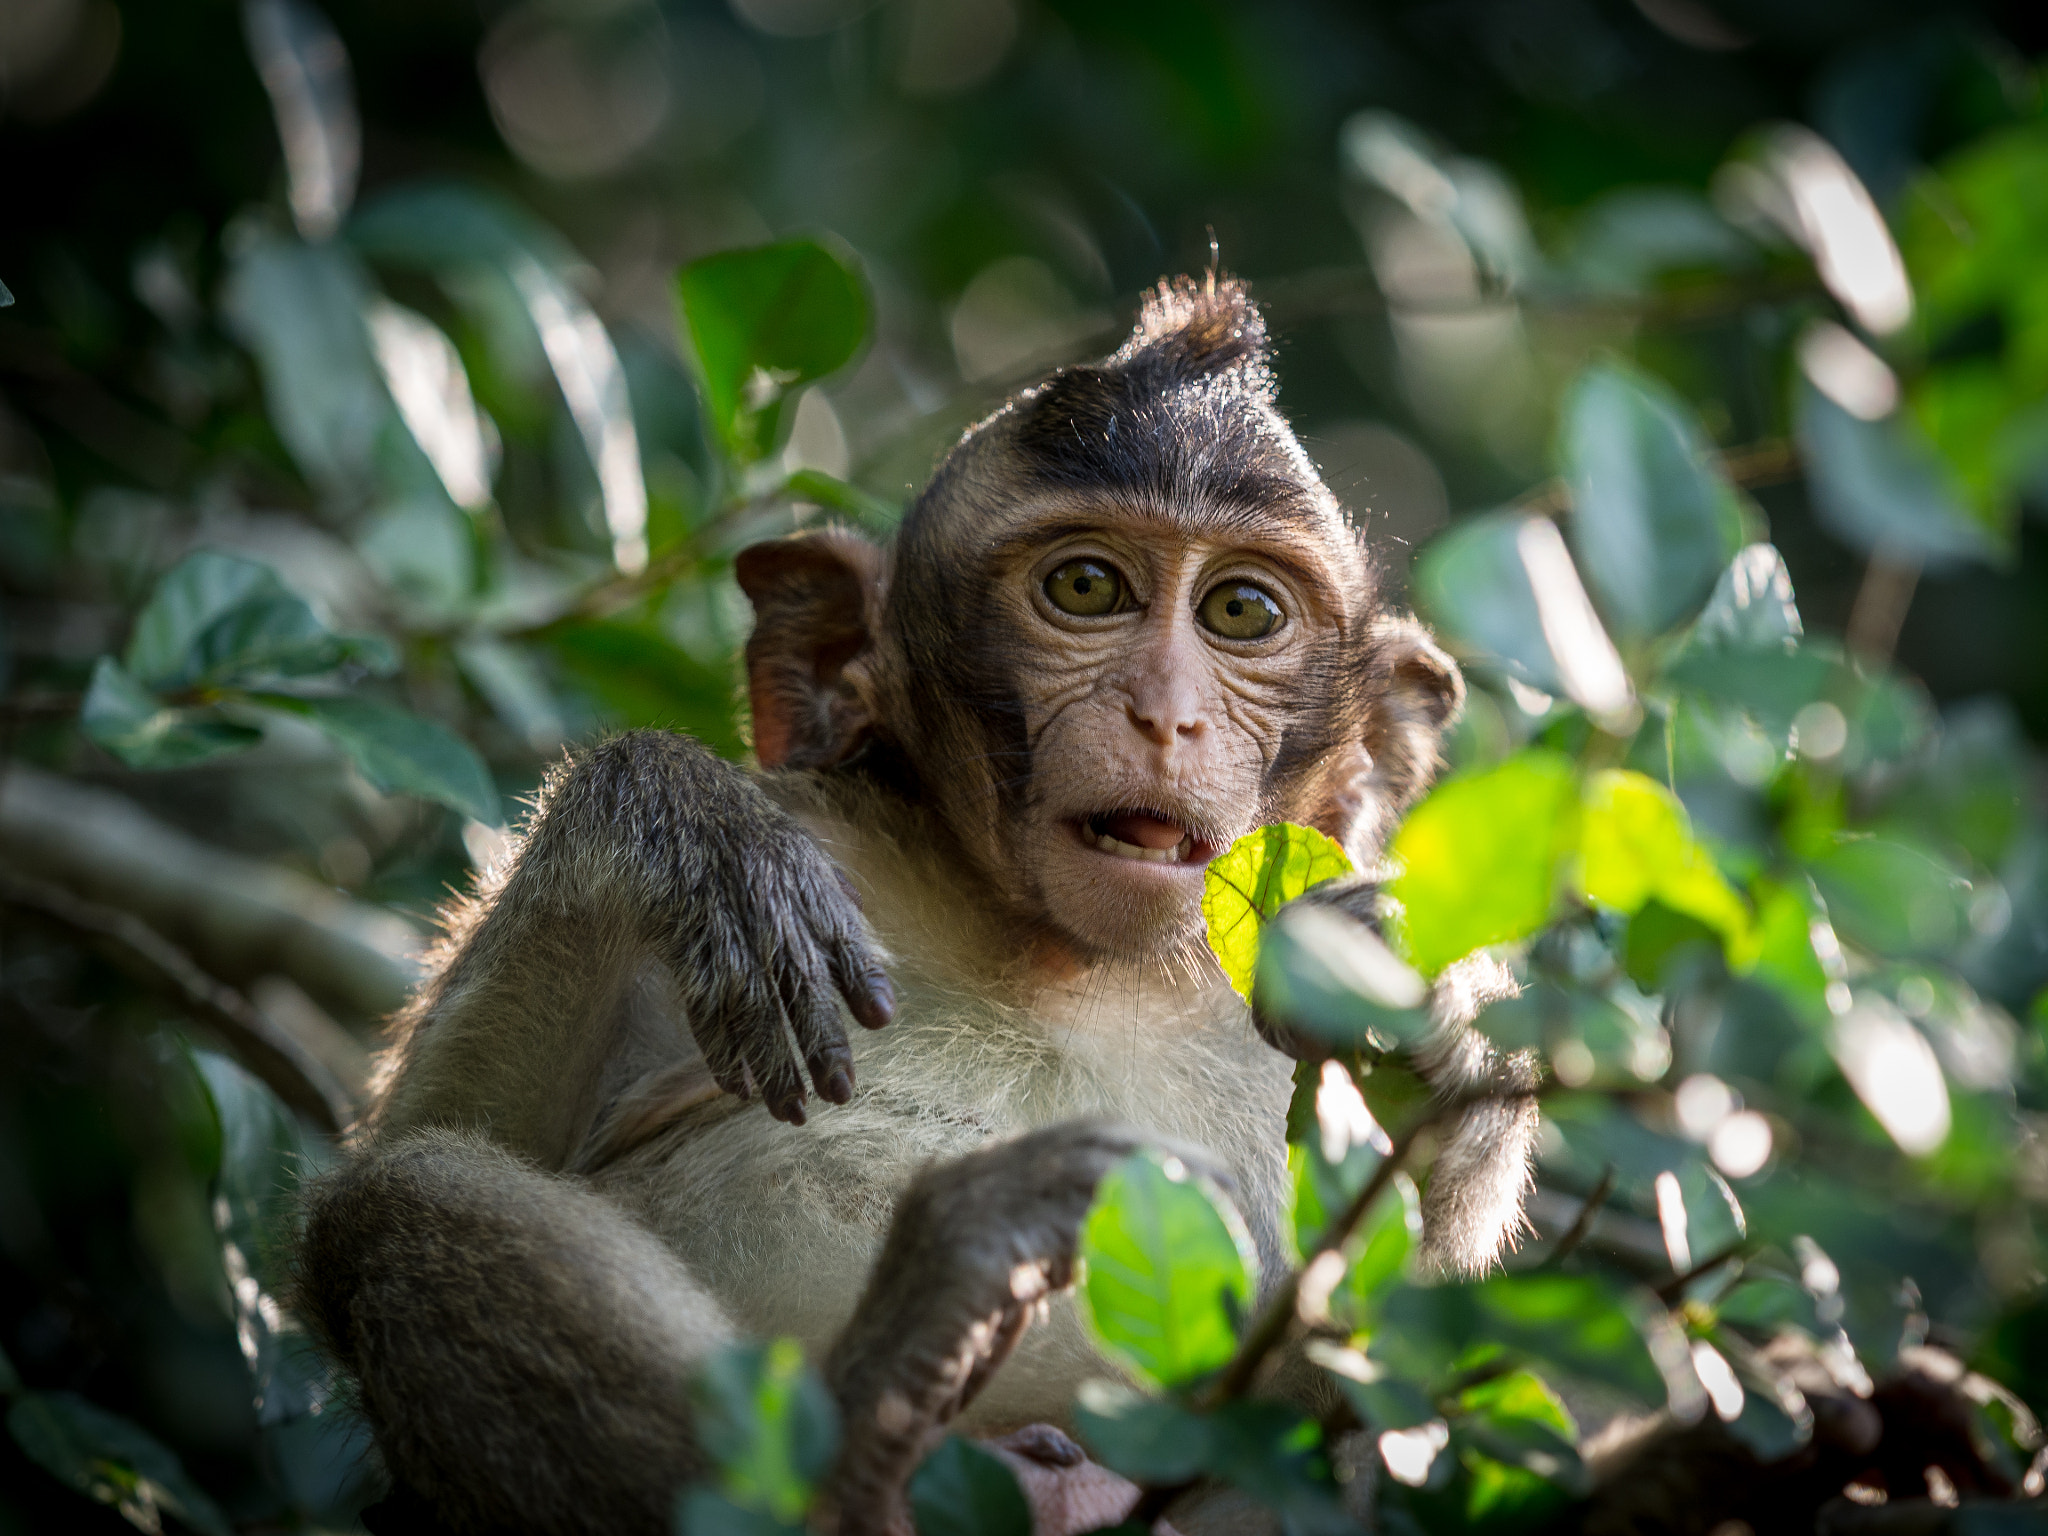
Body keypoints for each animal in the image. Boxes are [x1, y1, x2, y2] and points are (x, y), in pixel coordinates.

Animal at [296, 274, 1531, 1536]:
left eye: (1240, 612)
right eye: (1086, 587)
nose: (1165, 713)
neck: (1063, 959)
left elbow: (1372, 1359)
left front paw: (1436, 1028)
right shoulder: (814, 842)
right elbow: (451, 1138)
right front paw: (677, 822)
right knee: (395, 1205)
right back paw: (871, 1413)